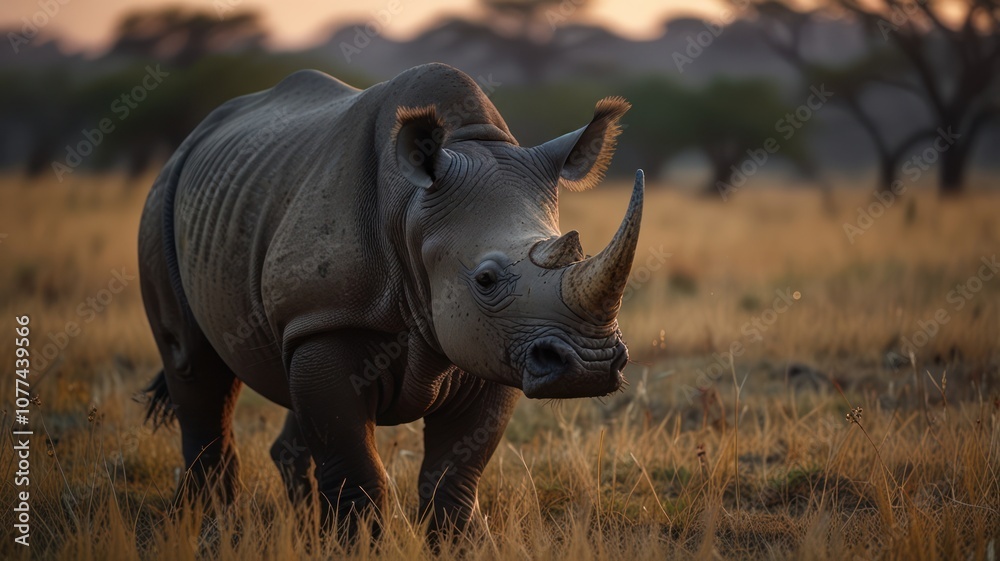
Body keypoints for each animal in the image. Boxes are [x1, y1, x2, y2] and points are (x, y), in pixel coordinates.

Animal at [138, 63, 643, 537]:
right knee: (194, 365)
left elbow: (454, 473)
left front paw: (455, 543)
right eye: (485, 280)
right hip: (162, 202)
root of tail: (195, 137)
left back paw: (296, 528)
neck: (412, 214)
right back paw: (207, 525)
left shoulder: (495, 344)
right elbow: (357, 468)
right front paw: (358, 544)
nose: (591, 365)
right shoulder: (333, 315)